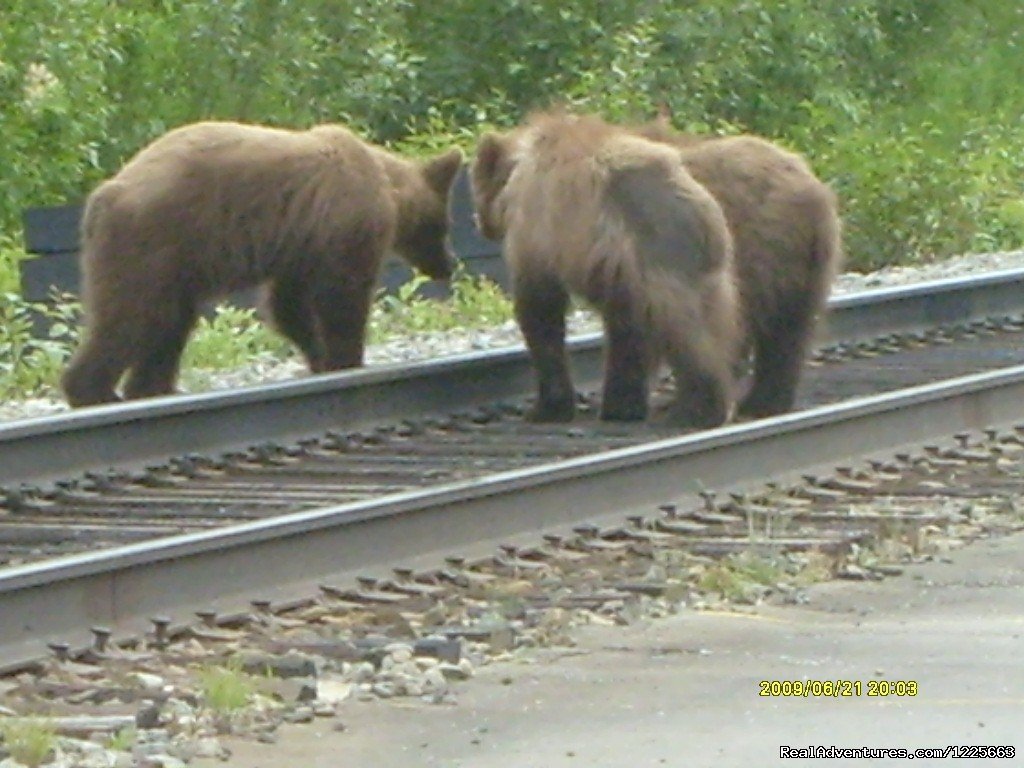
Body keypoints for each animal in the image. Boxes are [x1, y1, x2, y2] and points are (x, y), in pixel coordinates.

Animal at [61, 118, 462, 409]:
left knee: (168, 324)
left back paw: (152, 388)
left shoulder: (299, 244)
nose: (449, 264)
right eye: (442, 226)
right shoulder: (342, 227)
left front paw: (317, 356)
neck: (386, 185)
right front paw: (345, 359)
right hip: (152, 245)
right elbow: (342, 297)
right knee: (131, 316)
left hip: (174, 265)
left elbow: (288, 305)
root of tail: (102, 196)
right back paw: (95, 391)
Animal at [468, 111, 741, 430]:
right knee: (709, 323)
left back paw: (697, 409)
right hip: (700, 270)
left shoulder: (536, 234)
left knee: (685, 328)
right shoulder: (614, 274)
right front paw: (623, 405)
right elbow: (625, 332)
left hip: (657, 254)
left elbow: (540, 310)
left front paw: (546, 407)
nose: (477, 221)